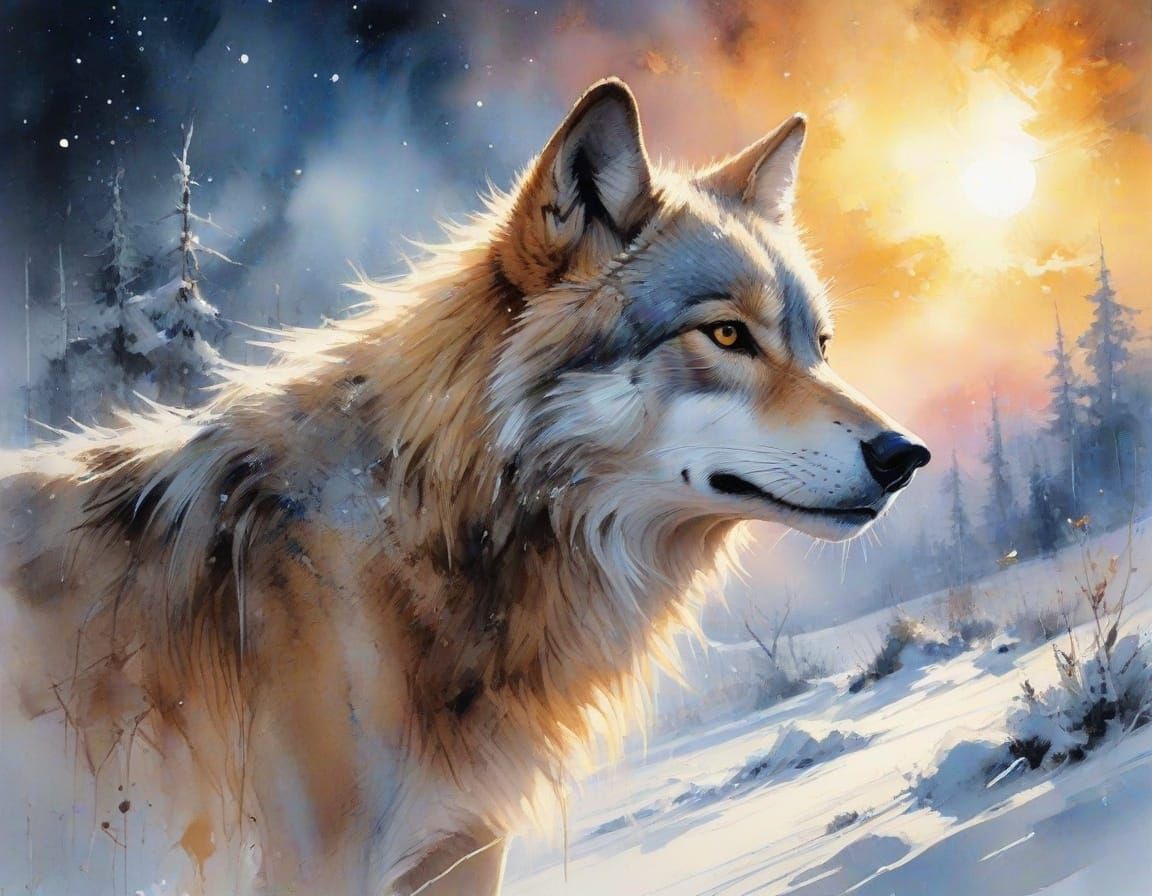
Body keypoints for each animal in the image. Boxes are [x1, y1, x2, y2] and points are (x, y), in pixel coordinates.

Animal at [0, 78, 928, 895]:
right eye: (728, 334)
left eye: (820, 345)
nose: (905, 454)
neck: (420, 533)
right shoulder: (314, 865)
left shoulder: (464, 845)